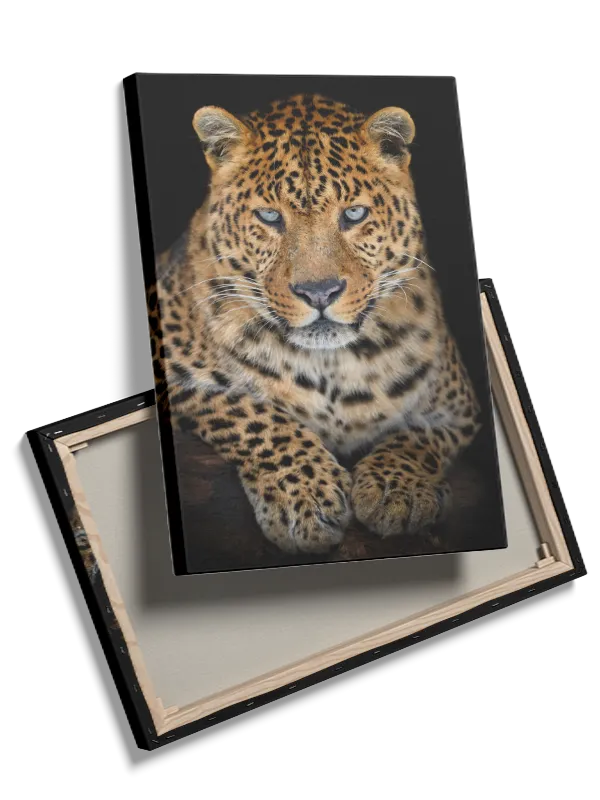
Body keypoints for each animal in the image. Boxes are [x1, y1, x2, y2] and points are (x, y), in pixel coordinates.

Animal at [146, 94, 481, 555]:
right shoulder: (175, 370)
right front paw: (304, 499)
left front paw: (399, 490)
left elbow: (419, 437)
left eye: (354, 214)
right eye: (270, 217)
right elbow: (251, 413)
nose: (319, 292)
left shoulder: (457, 407)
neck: (332, 365)